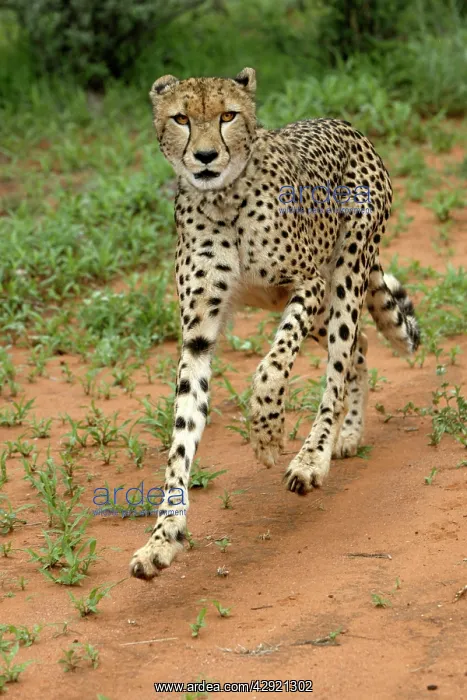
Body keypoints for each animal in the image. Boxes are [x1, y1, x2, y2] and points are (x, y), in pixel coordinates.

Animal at [129, 67, 420, 580]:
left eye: (228, 115)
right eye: (181, 118)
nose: (206, 157)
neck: (222, 199)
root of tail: (341, 122)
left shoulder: (306, 284)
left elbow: (272, 364)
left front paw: (266, 432)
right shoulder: (198, 334)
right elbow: (182, 436)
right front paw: (163, 539)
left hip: (345, 274)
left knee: (341, 359)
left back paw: (313, 457)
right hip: (321, 305)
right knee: (361, 346)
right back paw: (348, 433)